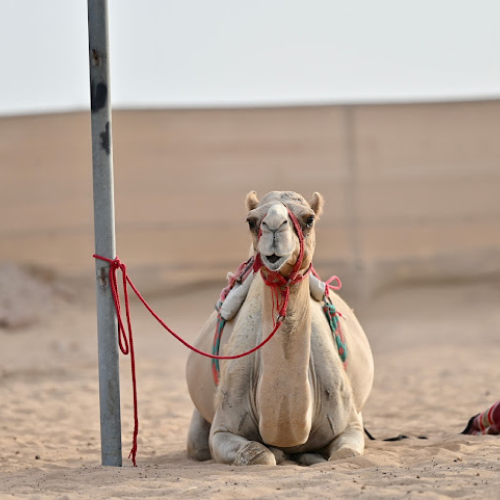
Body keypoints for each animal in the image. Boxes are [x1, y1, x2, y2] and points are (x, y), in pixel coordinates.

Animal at [186, 191, 374, 464]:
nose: (274, 225)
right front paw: (277, 452)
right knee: (196, 446)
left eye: (309, 219)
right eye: (251, 221)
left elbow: (345, 454)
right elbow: (259, 455)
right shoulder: (223, 429)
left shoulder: (350, 423)